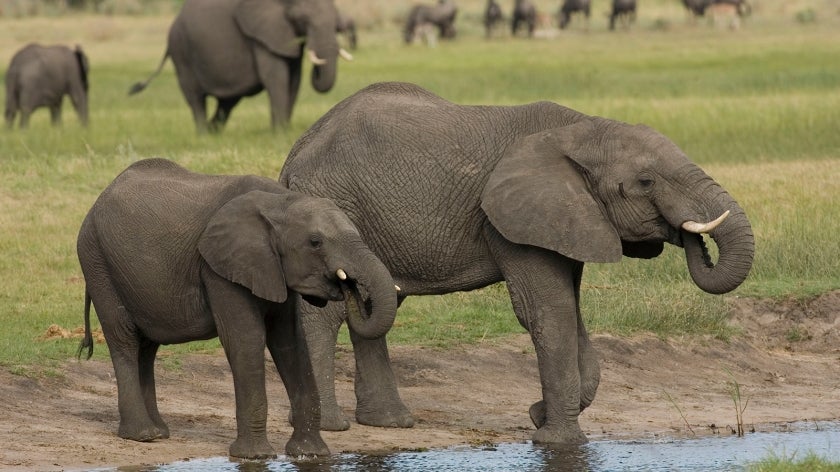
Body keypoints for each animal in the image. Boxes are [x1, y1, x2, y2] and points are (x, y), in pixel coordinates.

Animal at [76, 158, 398, 459]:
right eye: (315, 242)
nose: (348, 285)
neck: (281, 202)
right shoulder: (218, 267)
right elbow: (246, 339)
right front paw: (255, 456)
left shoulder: (272, 269)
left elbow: (290, 342)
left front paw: (310, 453)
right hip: (97, 261)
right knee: (125, 339)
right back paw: (142, 435)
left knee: (147, 347)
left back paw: (159, 432)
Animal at [128, 0, 352, 133]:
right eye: (303, 20)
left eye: (337, 21)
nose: (317, 65)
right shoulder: (262, 35)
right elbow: (276, 77)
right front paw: (279, 132)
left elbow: (294, 79)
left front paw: (285, 130)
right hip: (181, 51)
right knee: (195, 98)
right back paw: (204, 135)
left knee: (227, 102)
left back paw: (214, 132)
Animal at [278, 82, 755, 445]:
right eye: (645, 181)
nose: (689, 235)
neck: (583, 129)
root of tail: (297, 149)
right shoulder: (510, 220)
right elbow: (547, 311)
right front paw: (555, 440)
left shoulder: (568, 220)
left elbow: (570, 311)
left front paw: (539, 416)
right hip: (332, 201)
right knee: (331, 310)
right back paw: (331, 425)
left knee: (375, 301)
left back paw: (391, 423)